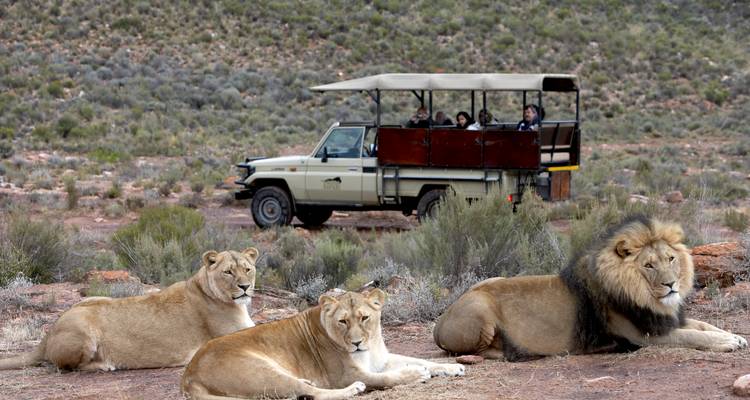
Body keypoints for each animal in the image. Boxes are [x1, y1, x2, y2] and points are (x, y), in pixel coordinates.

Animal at [0, 248, 259, 371]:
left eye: (247, 269)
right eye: (228, 272)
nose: (245, 287)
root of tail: (49, 332)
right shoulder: (231, 337)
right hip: (84, 330)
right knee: (67, 366)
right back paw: (106, 364)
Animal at [181, 289, 465, 400]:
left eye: (364, 317)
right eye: (343, 321)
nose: (357, 343)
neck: (371, 345)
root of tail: (189, 374)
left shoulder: (381, 359)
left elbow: (422, 359)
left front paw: (453, 367)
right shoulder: (347, 373)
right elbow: (387, 378)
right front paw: (417, 374)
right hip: (262, 371)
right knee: (311, 393)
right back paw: (353, 390)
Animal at [433, 217, 748, 361]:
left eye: (671, 259)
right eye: (649, 265)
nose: (671, 284)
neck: (649, 298)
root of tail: (441, 320)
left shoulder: (664, 319)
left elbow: (704, 325)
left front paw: (735, 336)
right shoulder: (643, 336)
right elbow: (692, 335)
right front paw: (727, 343)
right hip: (480, 309)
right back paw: (512, 351)